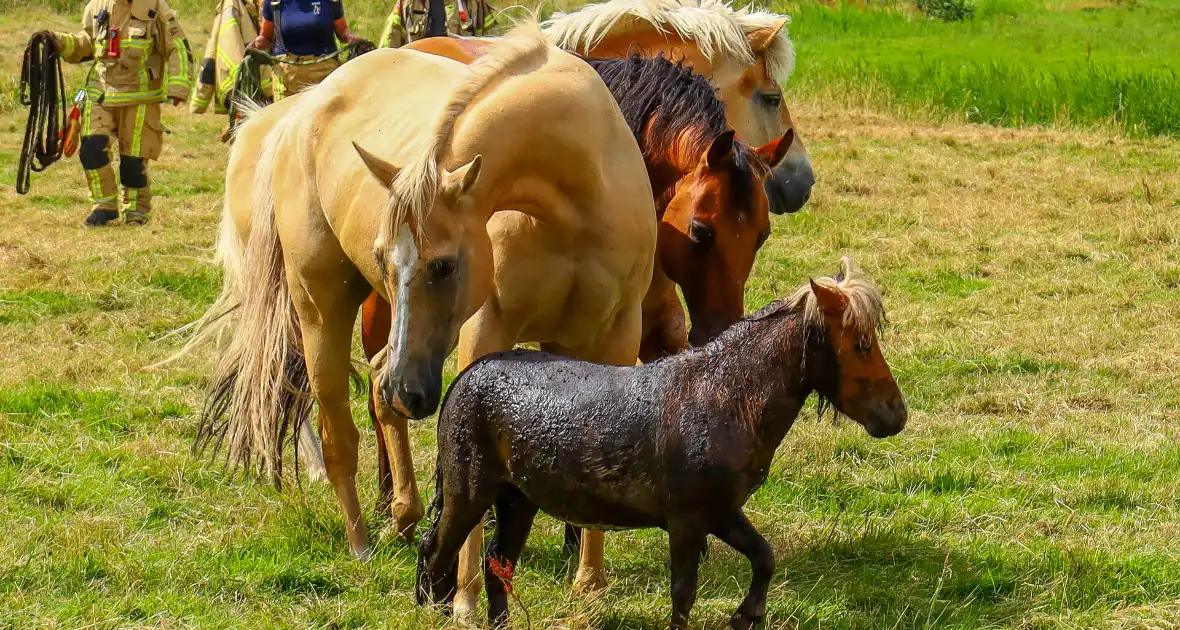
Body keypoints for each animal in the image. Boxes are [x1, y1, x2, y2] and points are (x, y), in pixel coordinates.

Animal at [194, 30, 658, 579]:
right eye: (380, 256)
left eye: (444, 266)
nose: (408, 391)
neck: (576, 191)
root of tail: (301, 110)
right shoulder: (486, 334)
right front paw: (467, 588)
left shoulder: (613, 335)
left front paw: (588, 580)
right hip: (322, 313)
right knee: (340, 431)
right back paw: (361, 543)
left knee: (377, 383)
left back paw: (403, 514)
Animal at [417, 259, 908, 629]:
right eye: (861, 344)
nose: (896, 414)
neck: (723, 395)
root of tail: (464, 378)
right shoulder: (687, 521)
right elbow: (683, 594)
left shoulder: (721, 513)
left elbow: (764, 558)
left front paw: (746, 615)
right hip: (470, 492)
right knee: (436, 553)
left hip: (517, 500)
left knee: (497, 565)